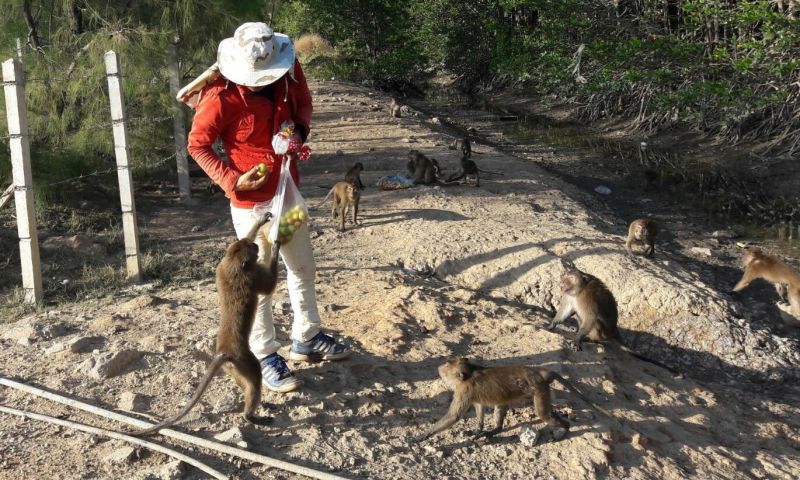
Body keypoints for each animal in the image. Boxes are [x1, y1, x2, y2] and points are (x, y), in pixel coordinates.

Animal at [127, 214, 282, 436]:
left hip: (233, 369)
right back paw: (249, 416)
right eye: (252, 248)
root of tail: (224, 352)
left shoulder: (222, 265)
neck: (234, 264)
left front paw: (261, 220)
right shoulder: (253, 274)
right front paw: (276, 246)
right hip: (245, 361)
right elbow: (269, 287)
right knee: (255, 380)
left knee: (248, 385)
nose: (255, 245)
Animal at [410, 358, 616, 444]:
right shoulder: (470, 393)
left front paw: (421, 436)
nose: (440, 365)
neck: (468, 375)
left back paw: (564, 428)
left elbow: (453, 416)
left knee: (544, 414)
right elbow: (479, 407)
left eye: (447, 365)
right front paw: (479, 429)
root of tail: (540, 372)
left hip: (539, 390)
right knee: (501, 406)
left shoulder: (463, 391)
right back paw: (495, 430)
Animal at [548, 268, 680, 374]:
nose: (562, 282)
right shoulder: (569, 295)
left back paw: (591, 339)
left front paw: (578, 339)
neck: (579, 291)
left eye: (571, 278)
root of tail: (614, 330)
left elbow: (590, 318)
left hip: (603, 332)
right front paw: (552, 324)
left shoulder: (588, 298)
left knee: (594, 321)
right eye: (565, 276)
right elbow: (568, 310)